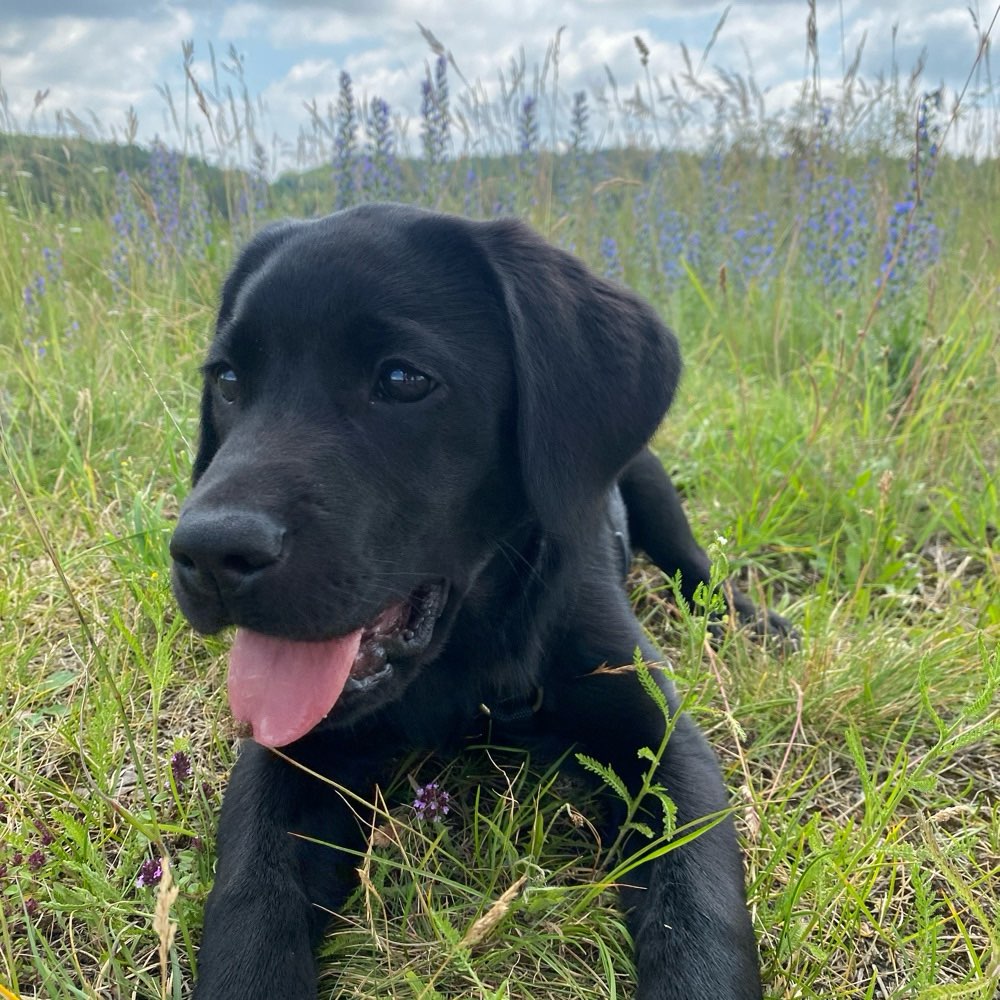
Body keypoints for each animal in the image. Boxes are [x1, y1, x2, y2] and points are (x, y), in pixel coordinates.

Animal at [172, 205, 784, 1000]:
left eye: (403, 379)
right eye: (228, 379)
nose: (207, 553)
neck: (463, 657)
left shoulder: (663, 742)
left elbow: (699, 913)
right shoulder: (291, 755)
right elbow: (249, 896)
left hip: (652, 485)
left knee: (695, 567)